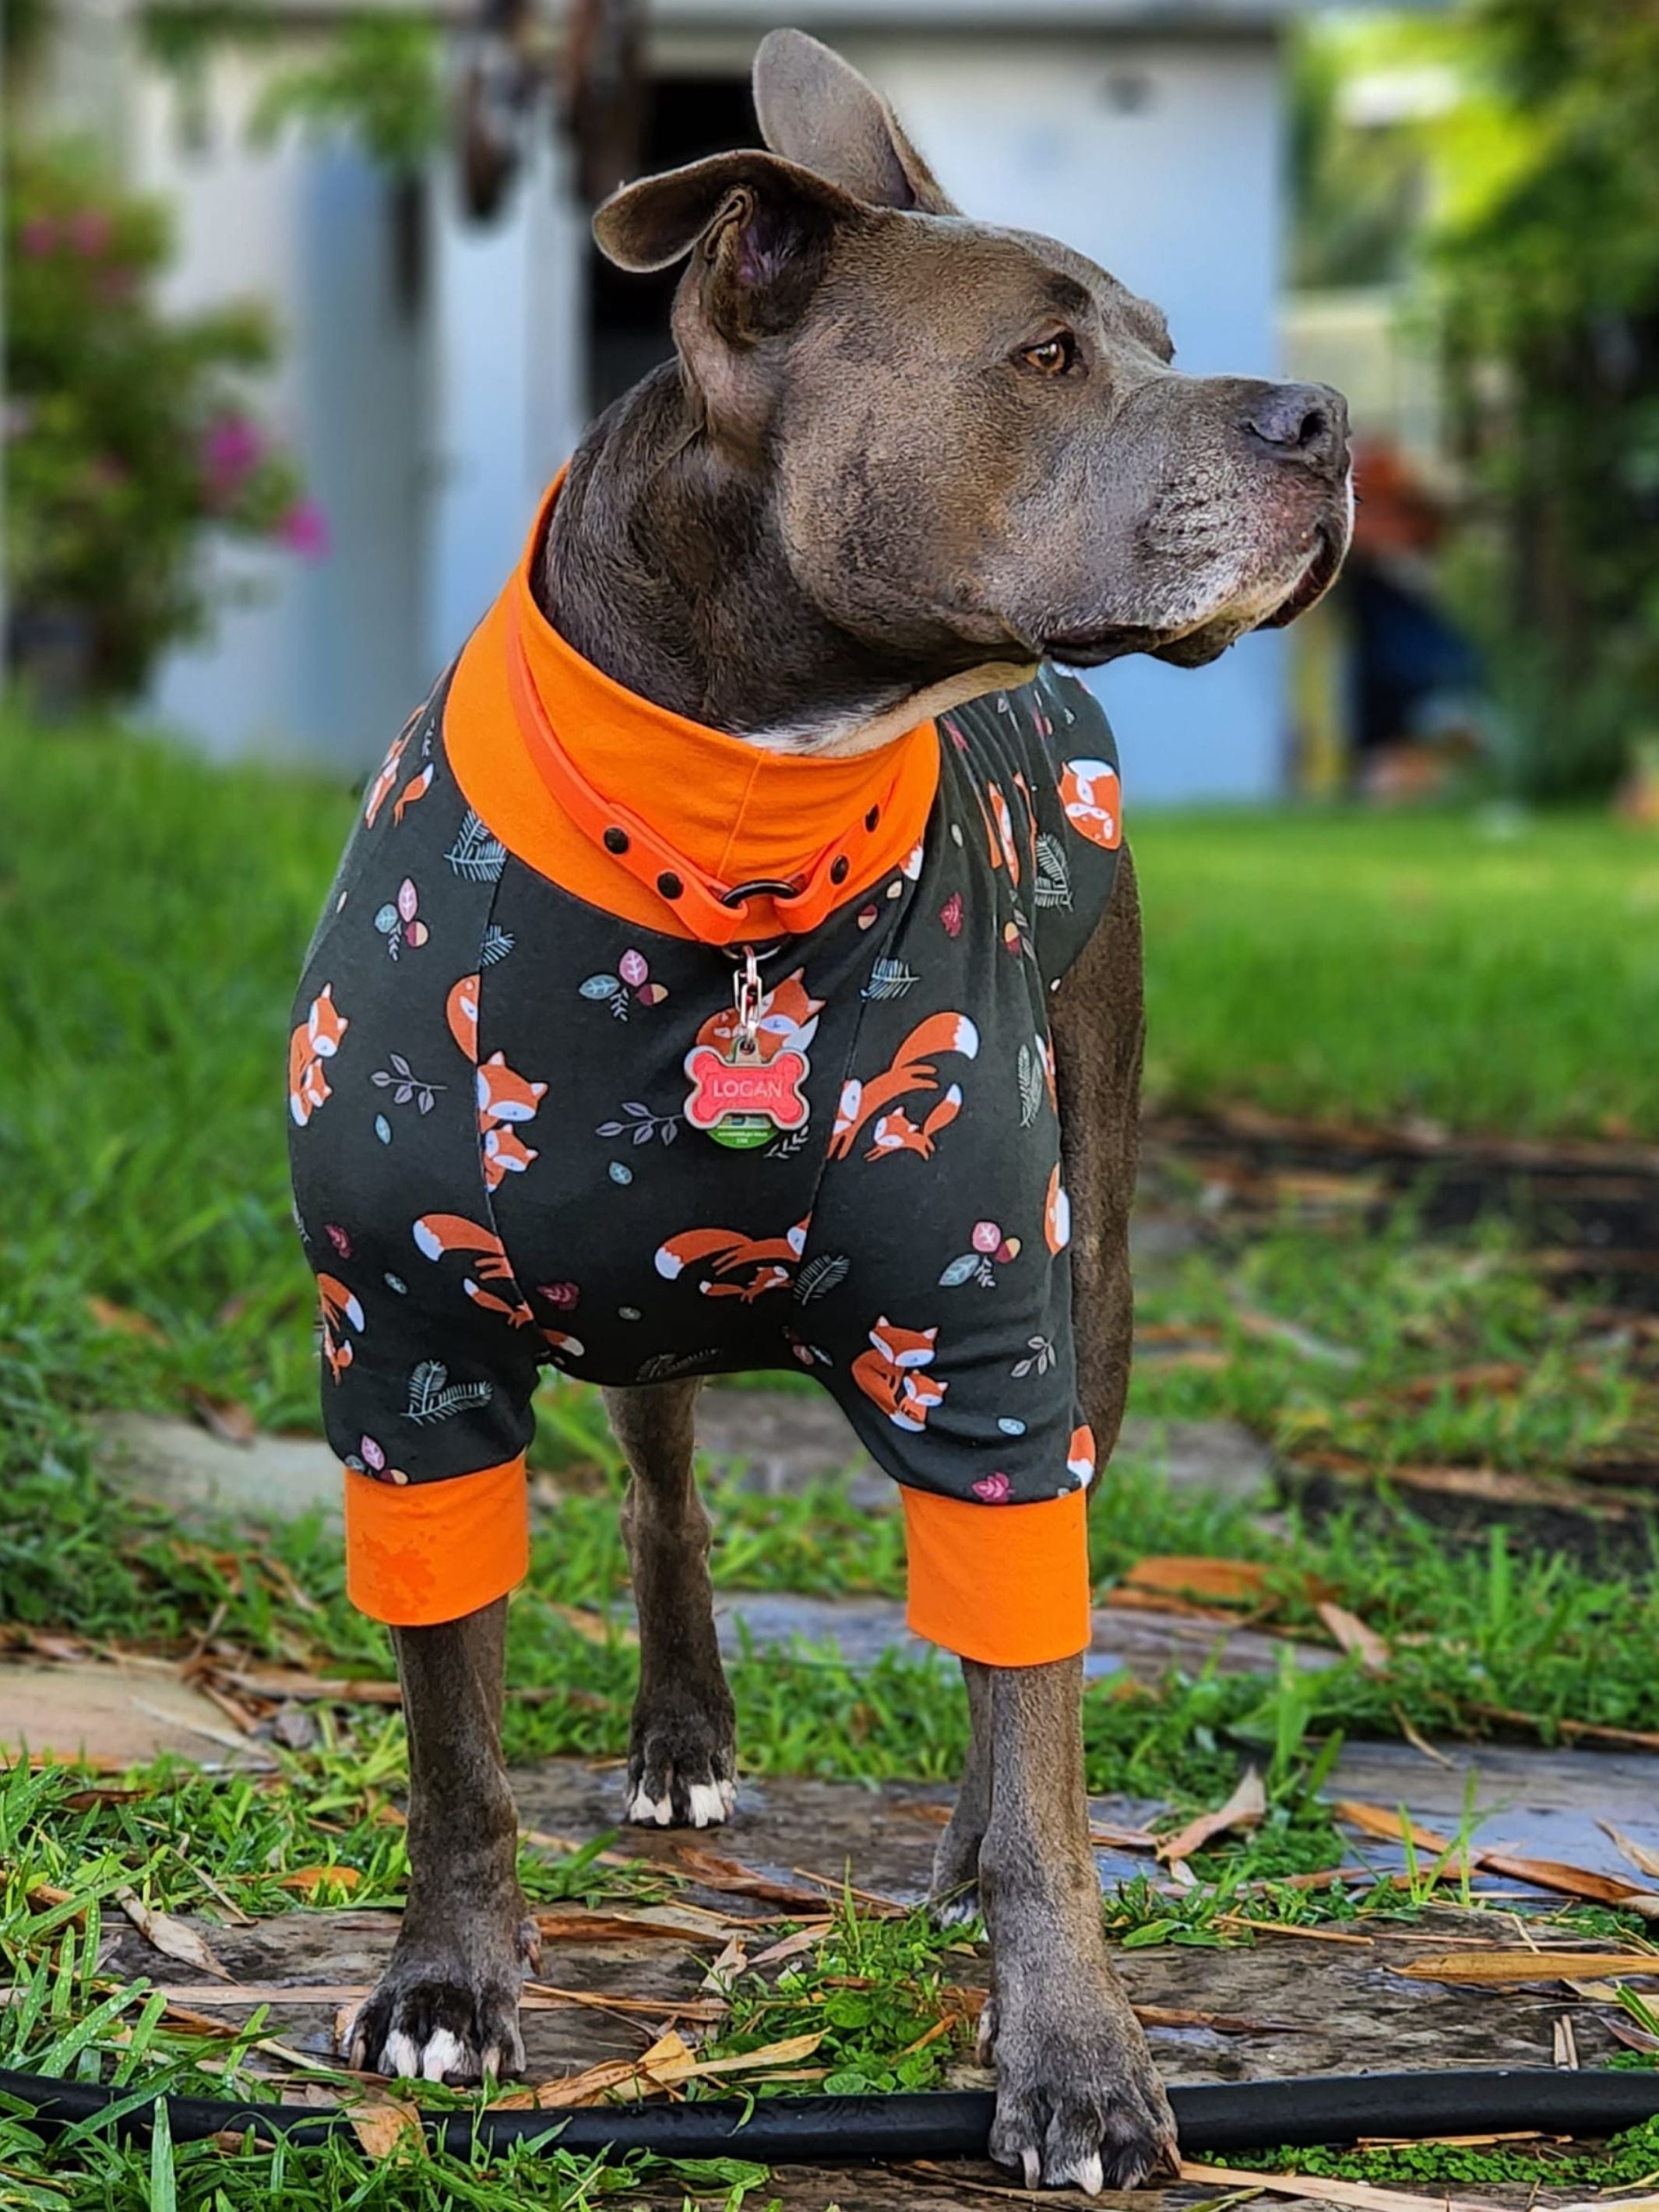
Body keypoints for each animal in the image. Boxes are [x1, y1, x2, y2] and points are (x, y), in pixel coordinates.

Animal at [338, 30, 1354, 2194]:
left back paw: (959, 1849)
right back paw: (680, 1732)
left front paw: (1072, 2052)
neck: (735, 826)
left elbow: (1034, 1707)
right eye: (1049, 355)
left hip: (1089, 1272)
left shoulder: (988, 1347)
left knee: (1023, 1613)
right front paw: (449, 1982)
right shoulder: (402, 1348)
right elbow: (453, 1727)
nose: (1323, 415)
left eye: (1160, 337)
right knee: (666, 1492)